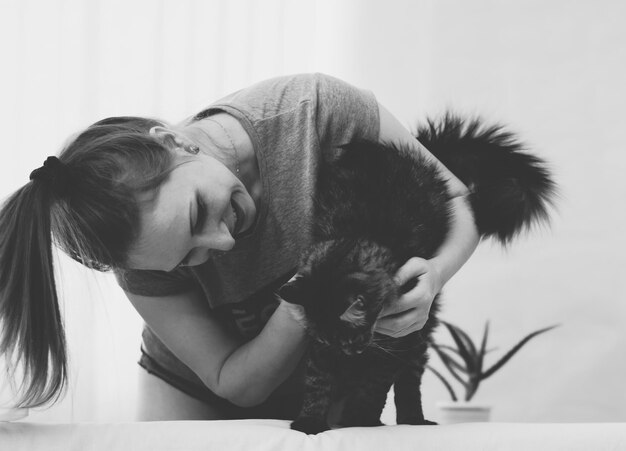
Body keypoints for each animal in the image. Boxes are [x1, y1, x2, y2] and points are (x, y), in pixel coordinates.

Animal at [278, 114, 556, 434]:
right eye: (331, 341)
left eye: (349, 338)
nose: (350, 353)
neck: (360, 235)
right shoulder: (321, 351)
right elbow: (318, 384)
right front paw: (309, 423)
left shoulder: (394, 344)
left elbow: (372, 388)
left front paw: (359, 421)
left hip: (419, 337)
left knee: (410, 384)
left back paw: (415, 420)